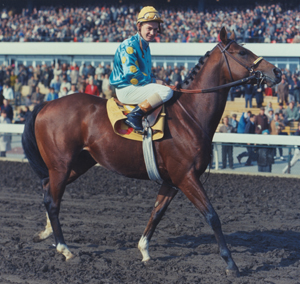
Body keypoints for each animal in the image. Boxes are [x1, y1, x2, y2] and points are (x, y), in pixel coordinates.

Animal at [21, 27, 282, 276]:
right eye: (242, 52)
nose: (277, 71)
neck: (190, 115)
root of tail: (46, 104)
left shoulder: (172, 181)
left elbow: (156, 213)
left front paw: (144, 252)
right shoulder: (186, 177)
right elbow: (212, 216)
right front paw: (231, 264)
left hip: (77, 164)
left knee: (48, 191)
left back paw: (45, 234)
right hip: (61, 165)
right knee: (53, 201)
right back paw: (64, 249)